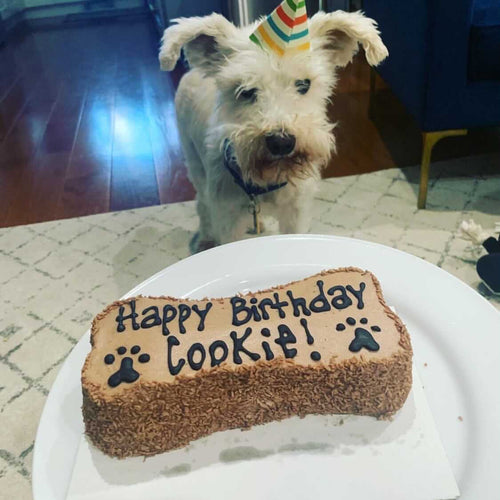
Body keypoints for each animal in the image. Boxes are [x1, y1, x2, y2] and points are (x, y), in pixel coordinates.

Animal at [159, 10, 386, 254]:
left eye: (304, 84)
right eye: (245, 90)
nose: (281, 142)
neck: (266, 181)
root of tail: (192, 71)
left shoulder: (296, 213)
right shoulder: (228, 219)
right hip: (194, 163)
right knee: (202, 204)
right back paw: (205, 239)